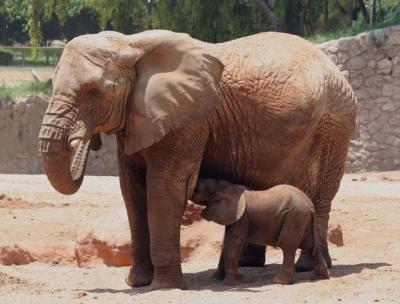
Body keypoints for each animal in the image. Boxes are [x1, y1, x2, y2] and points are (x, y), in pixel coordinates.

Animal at [192, 178, 330, 284]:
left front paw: (230, 283)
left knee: (288, 246)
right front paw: (238, 279)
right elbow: (230, 242)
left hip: (294, 217)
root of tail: (310, 206)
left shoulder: (241, 217)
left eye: (199, 188)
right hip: (303, 219)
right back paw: (320, 277)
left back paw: (279, 282)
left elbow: (233, 243)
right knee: (310, 245)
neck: (224, 186)